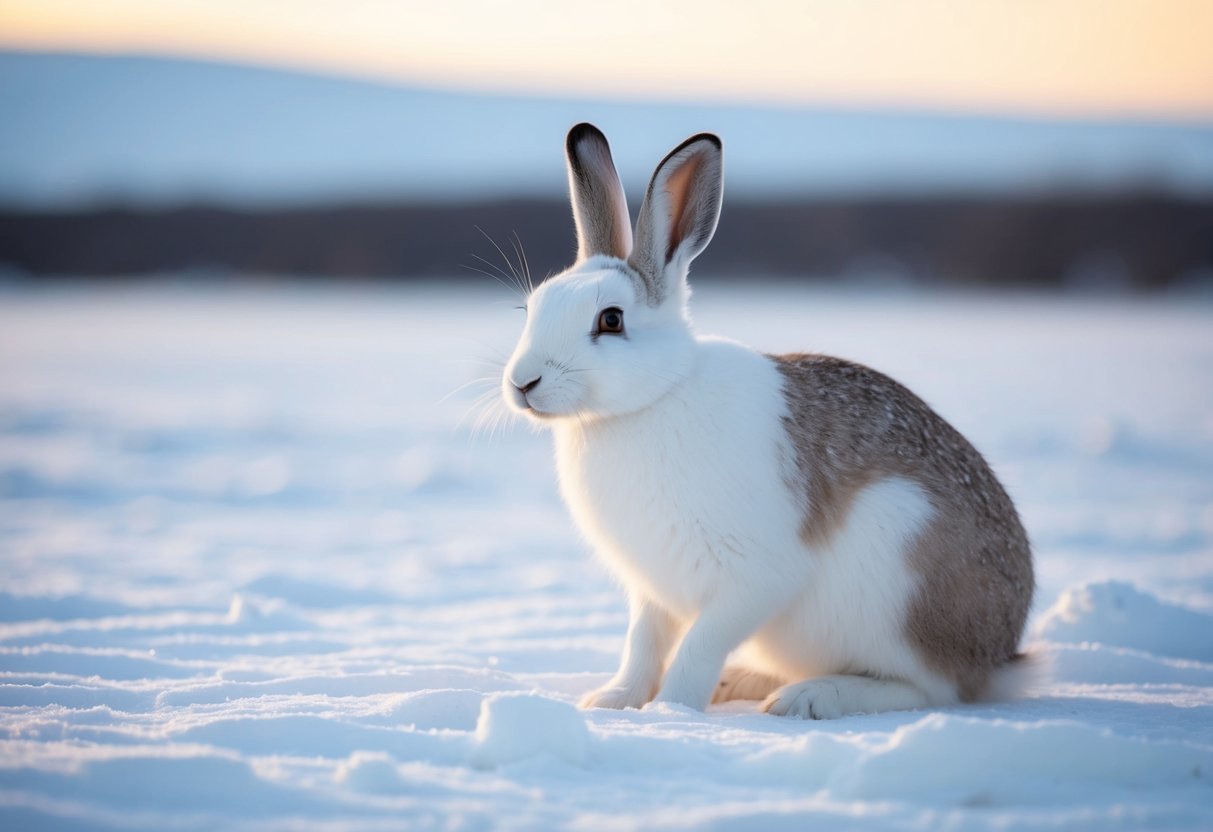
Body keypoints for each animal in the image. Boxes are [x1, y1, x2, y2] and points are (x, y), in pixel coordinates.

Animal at [501, 123, 1034, 719]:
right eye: (531, 308)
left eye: (611, 320)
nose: (523, 383)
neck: (654, 398)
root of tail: (997, 652)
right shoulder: (653, 590)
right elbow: (643, 646)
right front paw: (614, 702)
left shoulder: (754, 578)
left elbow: (697, 647)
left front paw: (673, 710)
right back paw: (742, 682)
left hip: (901, 579)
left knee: (928, 688)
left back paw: (807, 698)